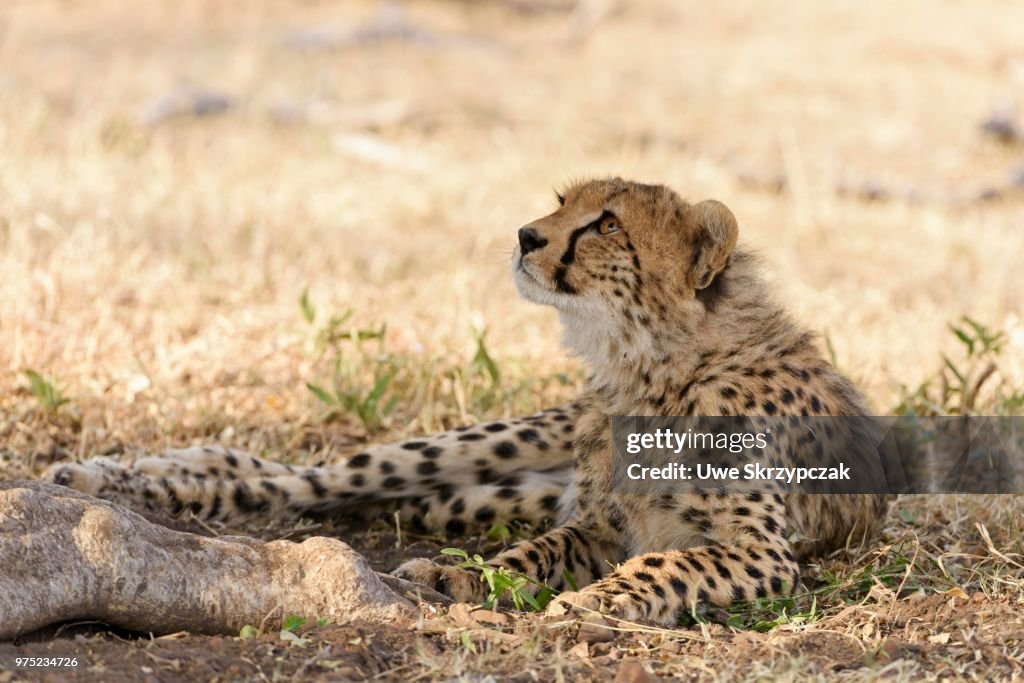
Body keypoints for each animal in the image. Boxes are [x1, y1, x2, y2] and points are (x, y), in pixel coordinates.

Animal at [43, 177, 892, 626]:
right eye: (561, 199)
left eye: (607, 223)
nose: (525, 236)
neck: (644, 367)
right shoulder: (597, 524)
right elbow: (537, 551)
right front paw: (466, 580)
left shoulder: (761, 551)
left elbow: (663, 563)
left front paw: (591, 601)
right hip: (484, 443)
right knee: (310, 477)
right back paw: (118, 477)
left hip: (479, 489)